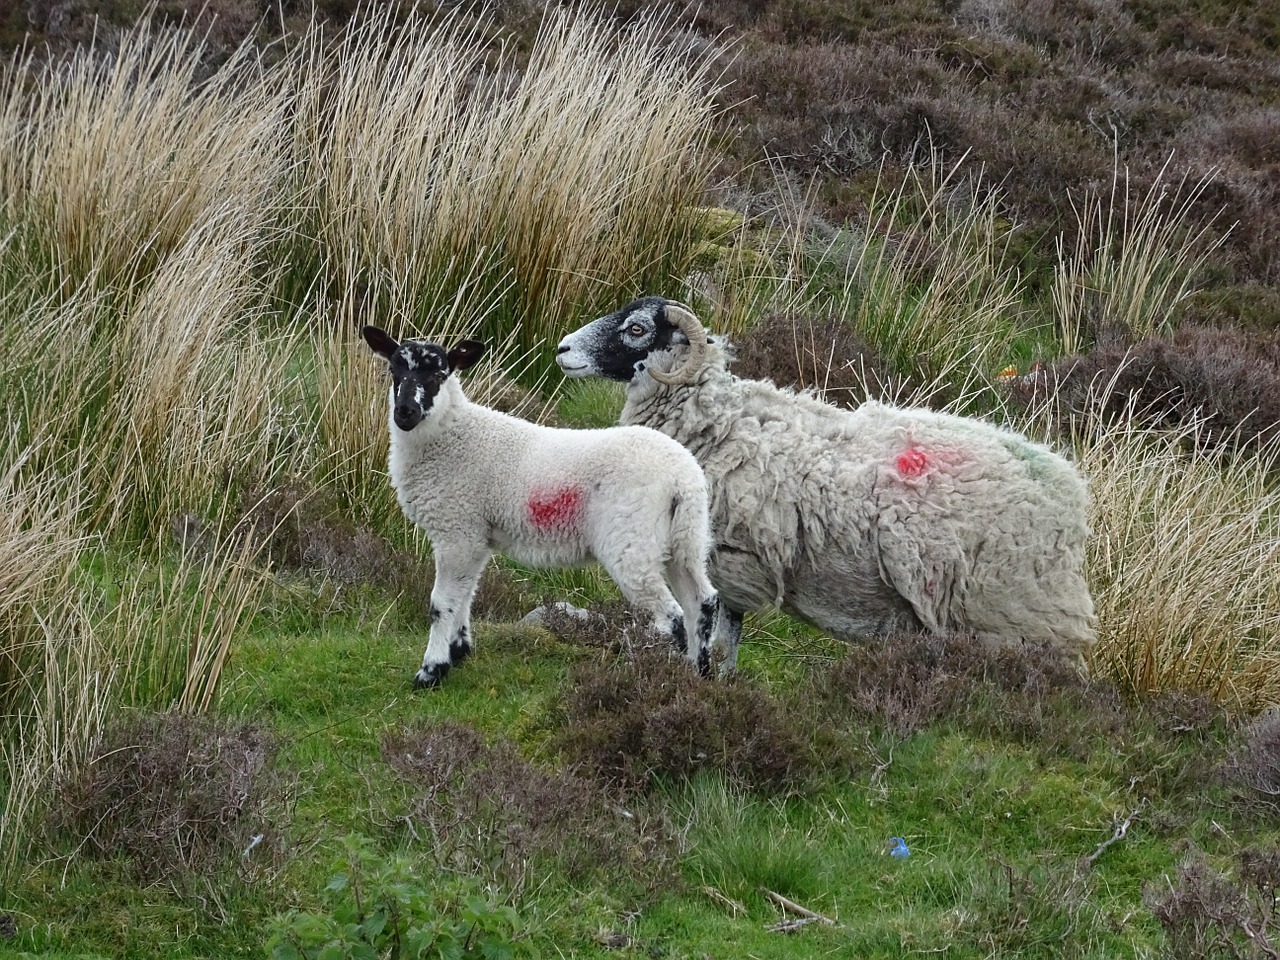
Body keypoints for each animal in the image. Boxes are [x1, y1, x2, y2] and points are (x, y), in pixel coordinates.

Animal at [360, 327, 721, 686]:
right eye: (393, 370)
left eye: (438, 374)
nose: (405, 413)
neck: (452, 435)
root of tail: (682, 476)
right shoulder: (475, 536)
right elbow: (466, 595)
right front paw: (458, 651)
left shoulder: (456, 530)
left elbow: (442, 603)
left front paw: (431, 670)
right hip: (686, 539)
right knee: (702, 602)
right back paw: (701, 677)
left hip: (632, 540)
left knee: (672, 617)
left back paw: (670, 679)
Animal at [555, 296, 1095, 670]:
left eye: (637, 329)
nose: (562, 349)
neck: (717, 421)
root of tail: (1068, 493)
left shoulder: (734, 559)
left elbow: (721, 637)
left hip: (1015, 611)